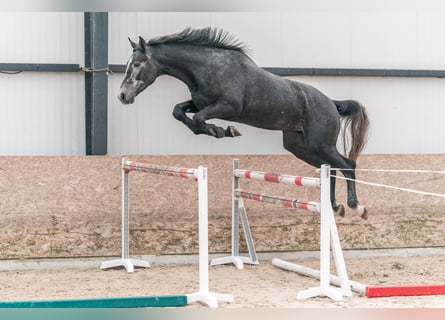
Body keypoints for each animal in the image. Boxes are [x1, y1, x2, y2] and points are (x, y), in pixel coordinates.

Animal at [117, 26, 368, 218]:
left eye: (137, 64)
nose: (122, 96)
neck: (208, 67)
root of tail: (331, 103)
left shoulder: (229, 106)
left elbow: (198, 119)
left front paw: (223, 130)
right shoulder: (200, 103)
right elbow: (179, 112)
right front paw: (220, 130)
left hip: (320, 144)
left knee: (347, 165)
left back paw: (357, 207)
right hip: (298, 146)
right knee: (330, 168)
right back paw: (334, 207)